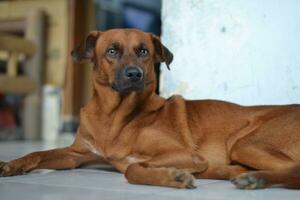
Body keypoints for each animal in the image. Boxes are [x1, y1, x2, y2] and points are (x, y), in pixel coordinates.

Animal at [0, 28, 300, 189]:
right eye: (112, 51)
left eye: (144, 51)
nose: (135, 74)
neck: (114, 116)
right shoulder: (77, 155)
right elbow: (39, 153)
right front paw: (11, 164)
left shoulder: (186, 154)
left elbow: (133, 167)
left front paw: (173, 176)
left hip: (245, 143)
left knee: (294, 170)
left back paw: (254, 178)